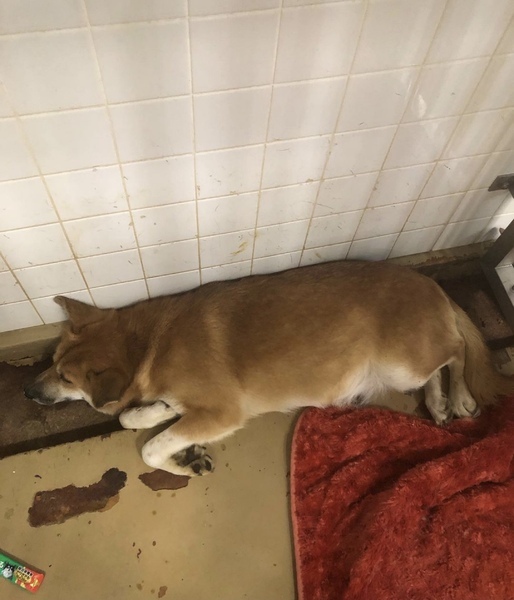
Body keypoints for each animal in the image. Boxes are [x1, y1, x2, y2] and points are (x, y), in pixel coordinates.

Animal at [24, 260, 514, 476]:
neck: (150, 341)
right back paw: (438, 401)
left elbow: (148, 449)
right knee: (440, 362)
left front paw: (180, 462)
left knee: (457, 350)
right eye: (52, 363)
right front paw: (175, 442)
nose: (28, 392)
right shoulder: (188, 403)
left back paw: (460, 396)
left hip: (401, 364)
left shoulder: (221, 412)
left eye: (65, 378)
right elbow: (133, 418)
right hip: (405, 367)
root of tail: (430, 282)